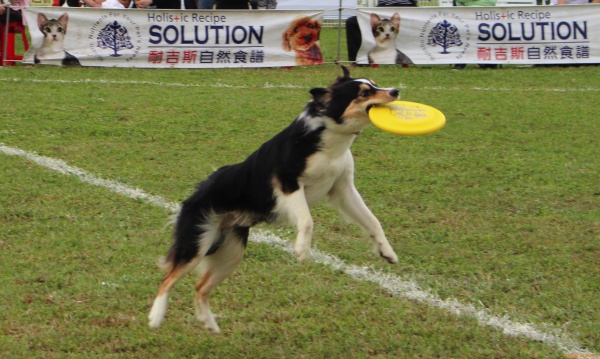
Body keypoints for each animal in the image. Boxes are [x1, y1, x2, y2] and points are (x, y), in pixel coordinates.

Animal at [148, 66, 398, 334]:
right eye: (364, 93)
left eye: (375, 83)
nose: (395, 91)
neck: (329, 137)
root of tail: (193, 195)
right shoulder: (287, 183)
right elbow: (307, 221)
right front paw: (302, 250)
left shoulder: (342, 189)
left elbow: (373, 222)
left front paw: (387, 252)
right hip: (198, 241)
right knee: (168, 278)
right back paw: (156, 316)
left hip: (231, 252)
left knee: (200, 287)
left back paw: (209, 323)